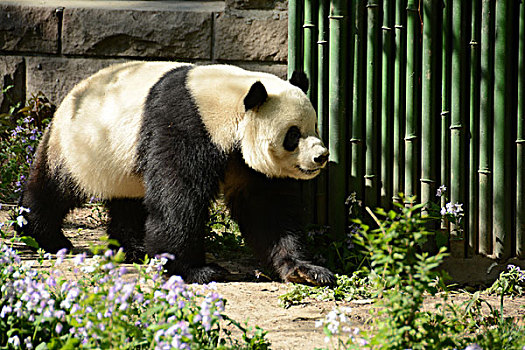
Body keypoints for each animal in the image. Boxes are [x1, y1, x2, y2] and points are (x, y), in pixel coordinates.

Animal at [19, 60, 336, 284]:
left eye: (315, 127)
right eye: (292, 135)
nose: (321, 157)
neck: (230, 101)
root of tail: (71, 94)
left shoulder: (248, 163)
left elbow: (267, 210)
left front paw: (305, 270)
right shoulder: (186, 124)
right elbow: (179, 196)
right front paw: (195, 270)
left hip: (120, 164)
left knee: (128, 200)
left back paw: (132, 248)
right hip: (80, 145)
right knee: (54, 188)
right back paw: (41, 235)